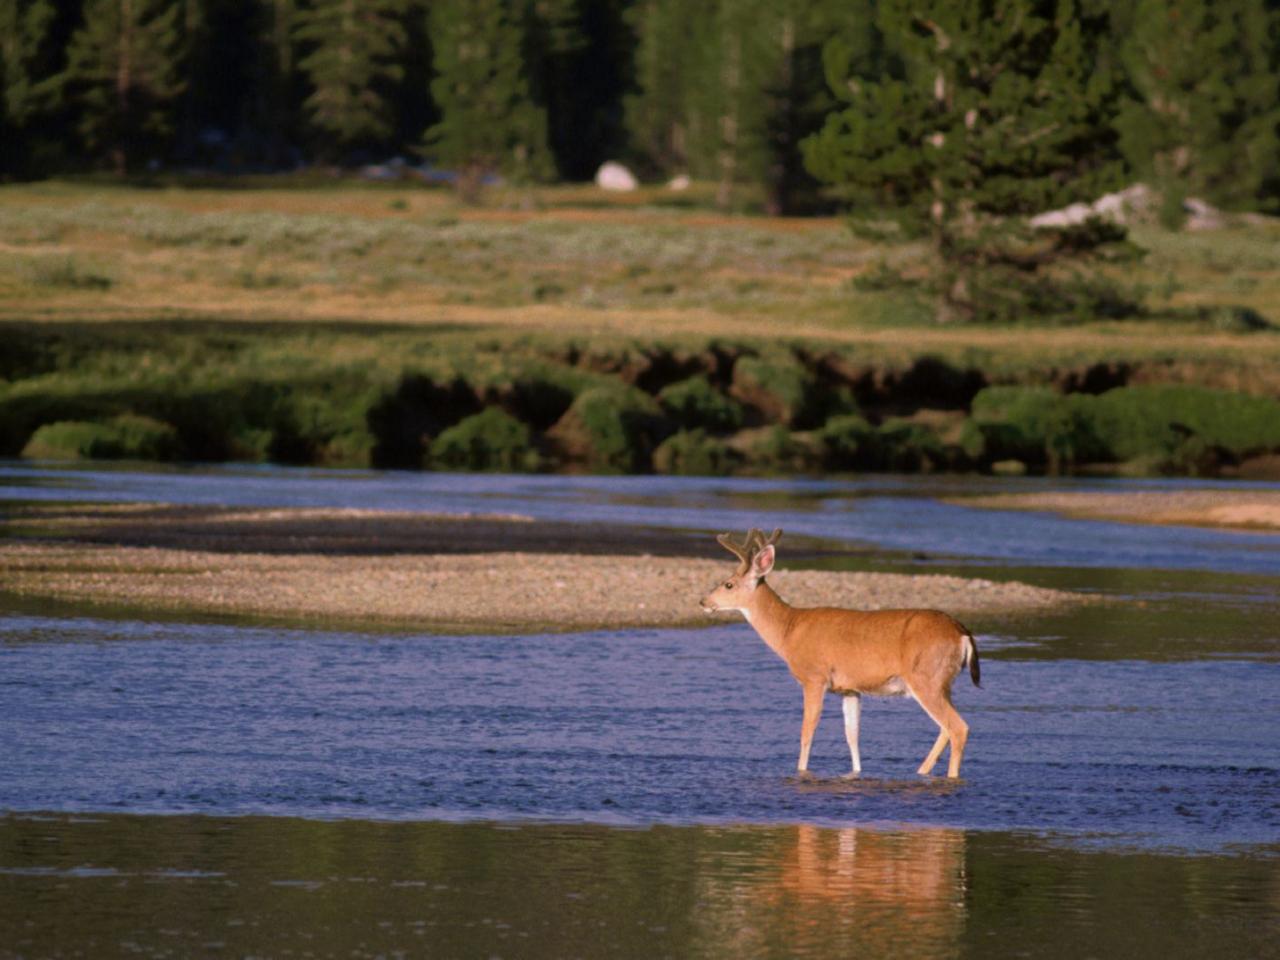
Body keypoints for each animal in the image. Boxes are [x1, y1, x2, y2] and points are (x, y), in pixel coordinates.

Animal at [701, 529, 977, 783]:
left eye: (728, 583)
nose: (703, 601)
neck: (789, 631)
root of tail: (962, 633)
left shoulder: (814, 677)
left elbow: (807, 730)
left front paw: (801, 773)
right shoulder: (850, 688)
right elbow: (852, 735)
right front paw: (855, 774)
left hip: (926, 678)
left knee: (958, 727)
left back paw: (950, 778)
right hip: (943, 682)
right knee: (945, 728)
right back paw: (921, 772)